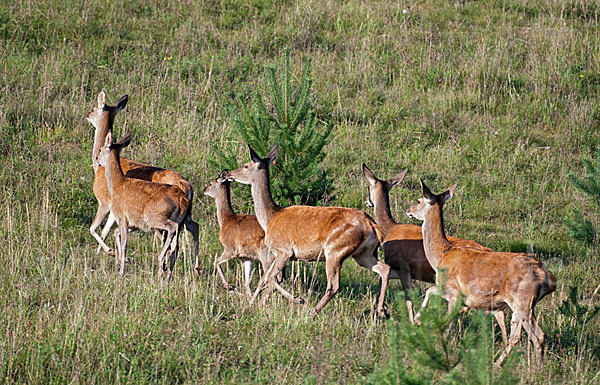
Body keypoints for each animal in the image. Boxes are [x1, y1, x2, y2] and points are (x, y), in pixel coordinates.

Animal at [96, 130, 190, 280]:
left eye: (100, 149)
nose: (97, 159)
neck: (117, 184)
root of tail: (182, 199)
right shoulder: (135, 223)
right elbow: (117, 234)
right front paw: (122, 261)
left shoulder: (122, 217)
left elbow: (124, 244)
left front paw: (121, 271)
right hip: (180, 221)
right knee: (176, 245)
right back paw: (168, 275)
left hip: (155, 216)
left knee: (171, 229)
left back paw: (161, 261)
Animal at [227, 144, 392, 318]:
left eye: (246, 165)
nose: (229, 174)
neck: (270, 217)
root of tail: (371, 225)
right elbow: (267, 279)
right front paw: (256, 304)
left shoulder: (284, 250)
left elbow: (271, 278)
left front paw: (297, 299)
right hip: (363, 253)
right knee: (384, 269)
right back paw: (381, 310)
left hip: (335, 250)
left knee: (334, 285)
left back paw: (311, 313)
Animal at [406, 178, 556, 364]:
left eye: (419, 200)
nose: (408, 210)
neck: (441, 254)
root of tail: (548, 278)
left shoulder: (454, 292)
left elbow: (434, 298)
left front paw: (418, 321)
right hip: (524, 305)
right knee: (520, 335)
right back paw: (500, 364)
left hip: (522, 301)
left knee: (535, 335)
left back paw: (533, 367)